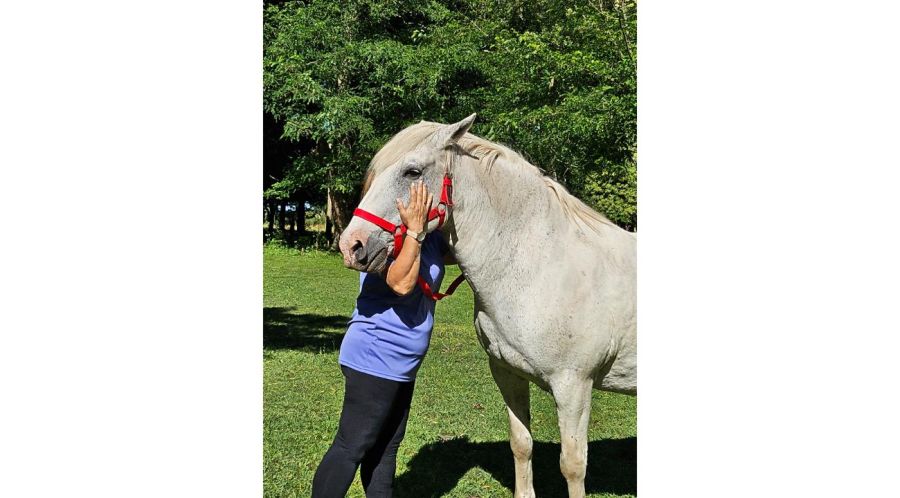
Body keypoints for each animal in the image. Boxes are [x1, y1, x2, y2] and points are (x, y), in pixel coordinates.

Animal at [338, 114, 636, 498]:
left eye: (412, 172)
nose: (352, 245)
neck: (542, 264)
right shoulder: (508, 372)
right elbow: (521, 444)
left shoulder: (574, 386)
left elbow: (572, 464)